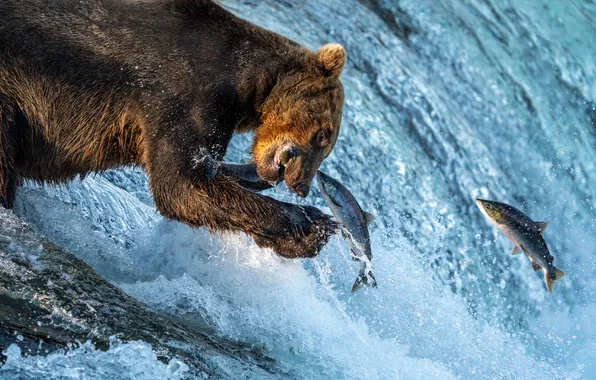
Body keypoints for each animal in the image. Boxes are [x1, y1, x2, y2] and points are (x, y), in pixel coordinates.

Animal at [0, 0, 344, 258]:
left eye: (327, 147)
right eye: (324, 134)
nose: (302, 186)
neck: (248, 84)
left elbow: (205, 173)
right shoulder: (183, 93)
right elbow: (182, 184)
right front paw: (313, 224)